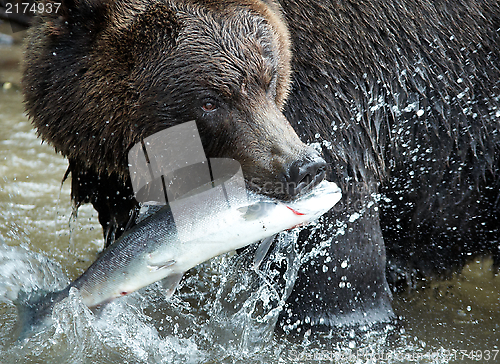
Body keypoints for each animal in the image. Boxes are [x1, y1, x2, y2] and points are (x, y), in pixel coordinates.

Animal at [21, 0, 500, 336]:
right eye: (209, 101)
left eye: (267, 79)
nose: (303, 168)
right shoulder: (112, 177)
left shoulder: (342, 107)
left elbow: (340, 270)